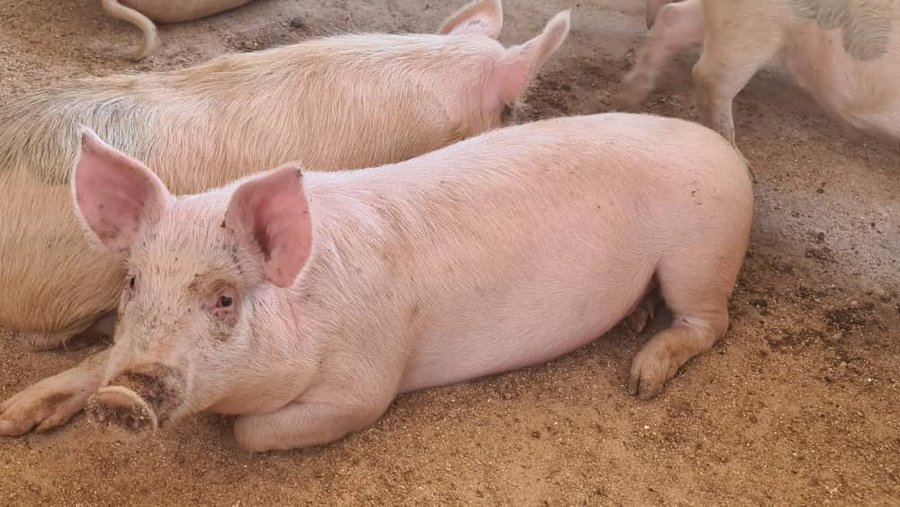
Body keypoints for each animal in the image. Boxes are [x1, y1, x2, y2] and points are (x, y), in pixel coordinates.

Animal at [56, 112, 750, 450]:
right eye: (133, 283)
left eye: (224, 298)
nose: (123, 394)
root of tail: (725, 150)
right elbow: (89, 362)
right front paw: (37, 411)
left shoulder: (364, 385)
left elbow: (252, 434)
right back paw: (634, 319)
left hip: (700, 249)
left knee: (710, 322)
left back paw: (643, 375)